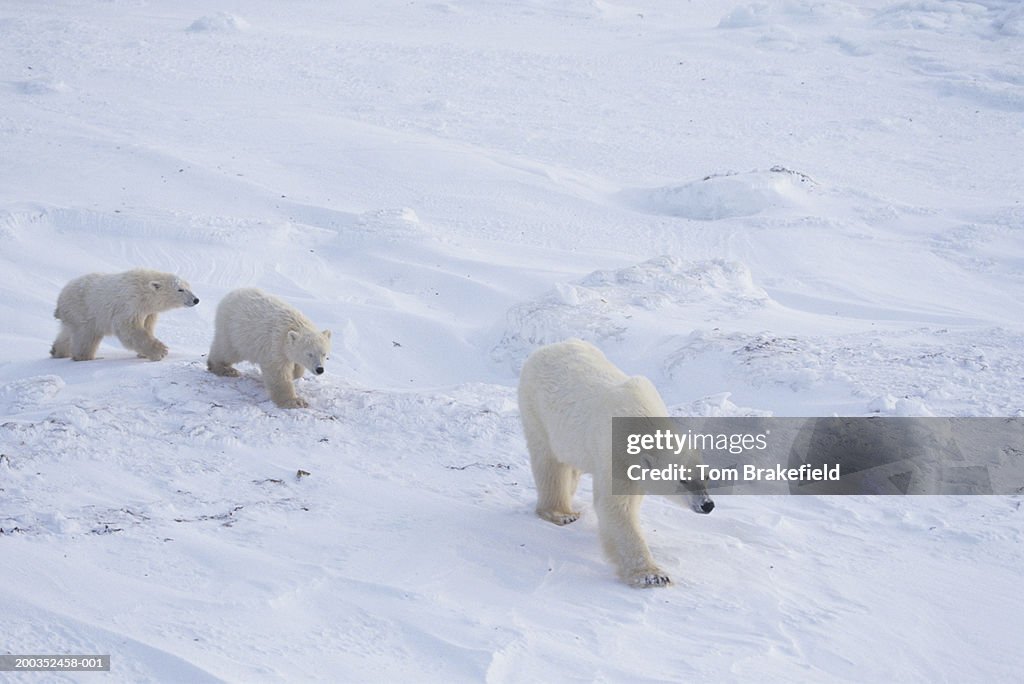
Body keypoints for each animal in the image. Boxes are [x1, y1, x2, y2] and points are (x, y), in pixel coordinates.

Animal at [49, 268, 200, 362]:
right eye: (180, 289)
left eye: (189, 287)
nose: (196, 300)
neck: (144, 291)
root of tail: (60, 299)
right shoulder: (130, 302)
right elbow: (128, 328)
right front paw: (160, 351)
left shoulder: (148, 312)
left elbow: (147, 326)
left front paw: (144, 354)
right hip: (84, 310)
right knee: (86, 335)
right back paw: (85, 356)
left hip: (74, 314)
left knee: (68, 332)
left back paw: (57, 351)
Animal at [520, 339, 712, 585]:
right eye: (683, 480)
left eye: (705, 476)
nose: (707, 504)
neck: (641, 419)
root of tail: (544, 349)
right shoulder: (615, 452)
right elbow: (617, 507)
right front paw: (652, 575)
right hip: (536, 411)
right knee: (550, 463)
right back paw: (562, 513)